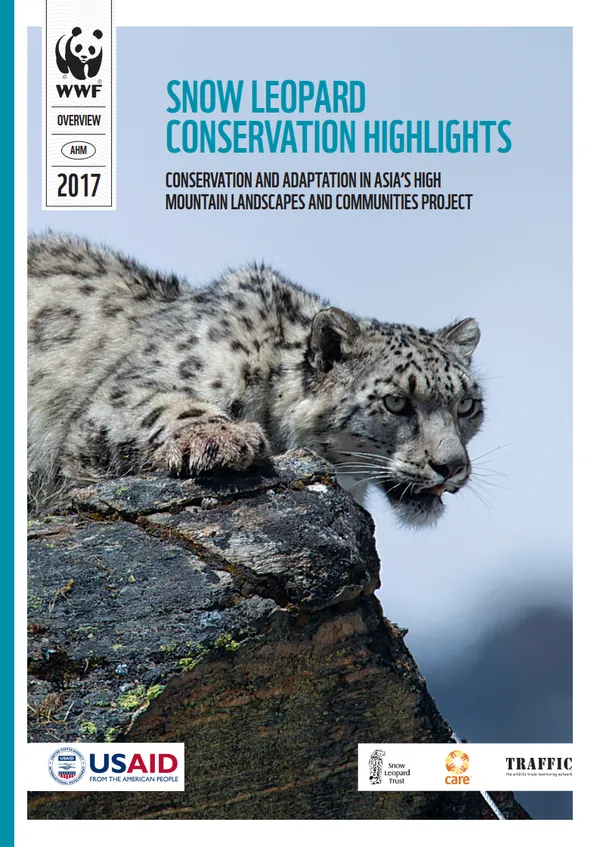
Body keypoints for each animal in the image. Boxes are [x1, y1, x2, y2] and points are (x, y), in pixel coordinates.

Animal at [28, 232, 484, 526]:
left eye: (467, 406)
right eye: (395, 402)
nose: (451, 467)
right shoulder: (117, 400)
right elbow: (160, 404)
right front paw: (222, 439)